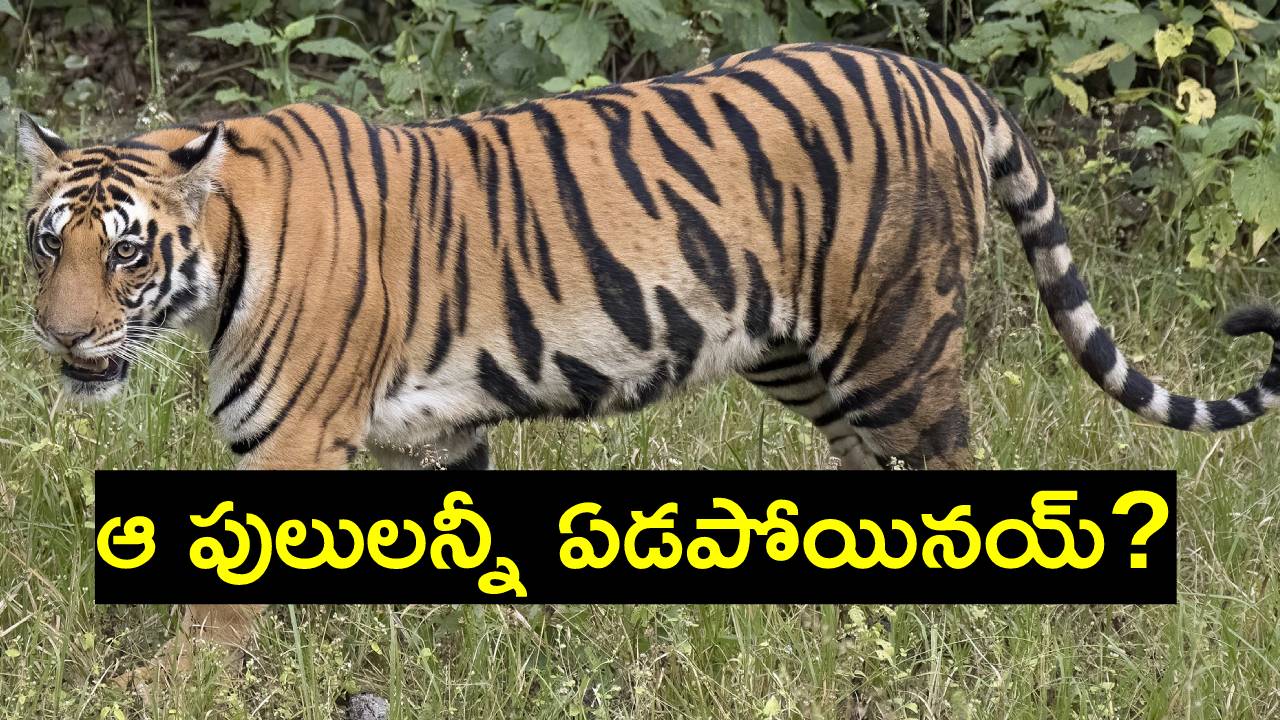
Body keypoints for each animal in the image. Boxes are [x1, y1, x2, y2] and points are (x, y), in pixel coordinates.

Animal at [18, 42, 1280, 680]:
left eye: (125, 253)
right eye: (45, 242)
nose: (63, 337)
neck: (220, 258)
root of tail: (943, 78)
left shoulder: (286, 445)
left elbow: (217, 606)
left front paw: (172, 691)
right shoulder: (432, 434)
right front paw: (462, 653)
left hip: (895, 347)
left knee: (945, 479)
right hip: (799, 355)